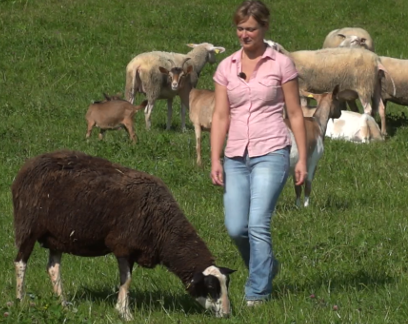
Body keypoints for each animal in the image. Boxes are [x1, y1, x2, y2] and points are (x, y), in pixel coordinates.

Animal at [11, 151, 236, 320]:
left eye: (226, 285)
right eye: (210, 287)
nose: (227, 315)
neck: (162, 226)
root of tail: (29, 164)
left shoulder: (134, 249)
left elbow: (125, 280)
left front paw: (122, 309)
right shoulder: (123, 245)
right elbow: (126, 280)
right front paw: (125, 313)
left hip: (56, 236)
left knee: (53, 268)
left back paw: (64, 304)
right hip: (28, 226)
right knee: (21, 262)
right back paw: (20, 301)